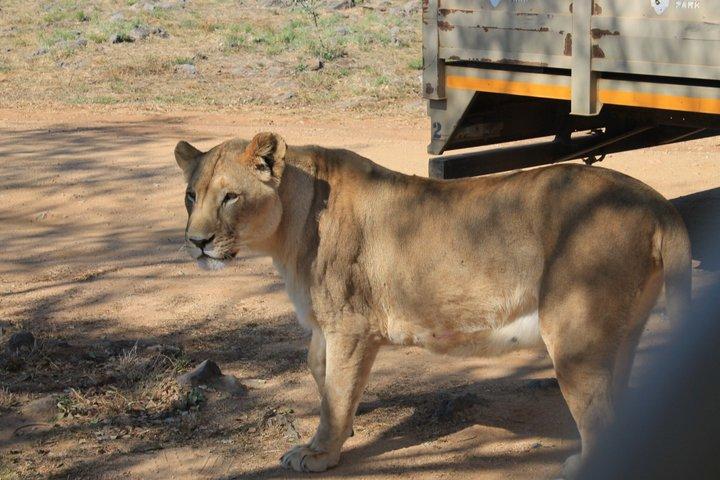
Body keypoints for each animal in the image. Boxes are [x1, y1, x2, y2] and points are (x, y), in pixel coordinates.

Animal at [174, 132, 691, 477]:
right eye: (190, 196)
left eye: (230, 197)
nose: (197, 243)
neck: (290, 225)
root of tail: (659, 203)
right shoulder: (326, 326)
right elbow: (321, 375)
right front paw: (342, 434)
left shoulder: (351, 326)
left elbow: (336, 390)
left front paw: (320, 454)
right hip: (623, 334)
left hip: (574, 338)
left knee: (598, 419)